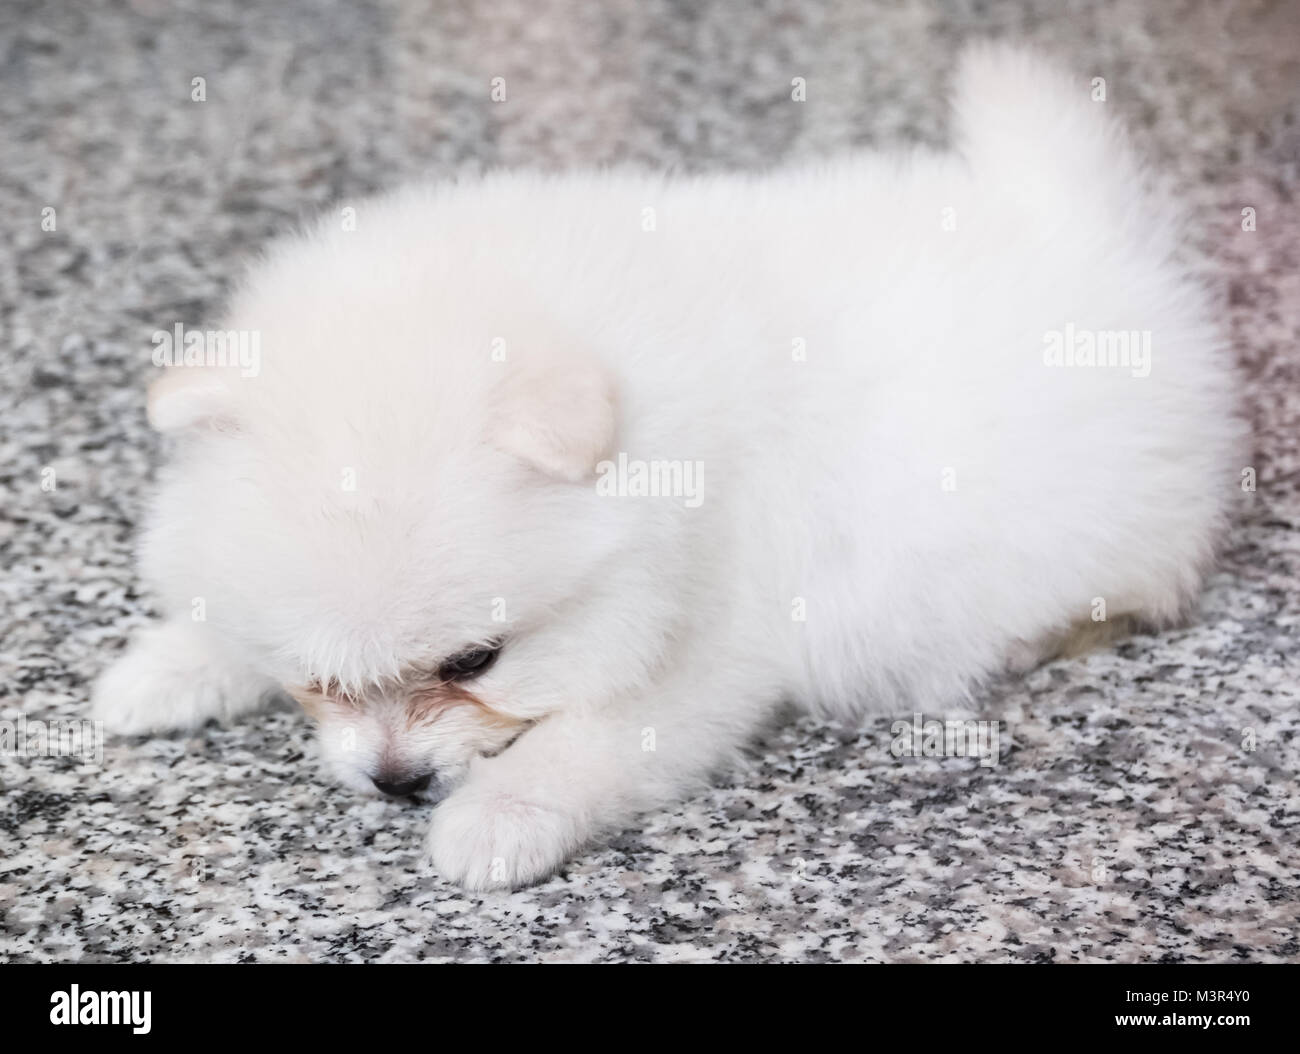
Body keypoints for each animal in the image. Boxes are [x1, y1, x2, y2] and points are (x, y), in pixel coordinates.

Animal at [94, 49, 1248, 888]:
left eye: (476, 662)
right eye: (319, 677)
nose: (395, 780)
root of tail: (1093, 242)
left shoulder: (719, 642)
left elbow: (590, 741)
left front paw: (495, 821)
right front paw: (169, 665)